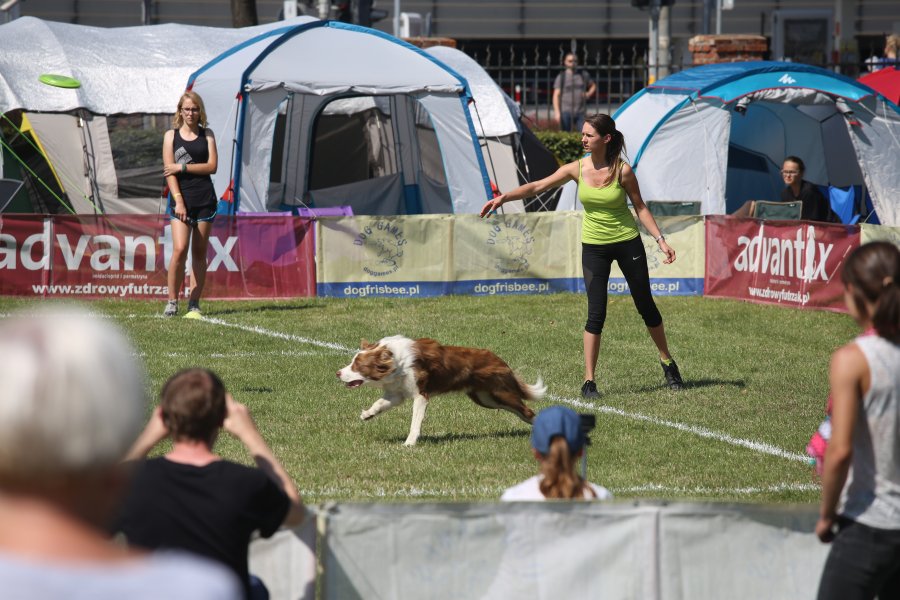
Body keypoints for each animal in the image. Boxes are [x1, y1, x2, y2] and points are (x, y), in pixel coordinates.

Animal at [340, 338, 544, 446]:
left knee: (527, 411)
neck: (397, 362)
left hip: (500, 393)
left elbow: (415, 421)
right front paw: (368, 414)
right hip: (485, 398)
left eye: (358, 366)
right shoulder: (396, 393)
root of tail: (500, 360)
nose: (338, 373)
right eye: (352, 362)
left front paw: (409, 443)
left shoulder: (421, 395)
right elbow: (380, 403)